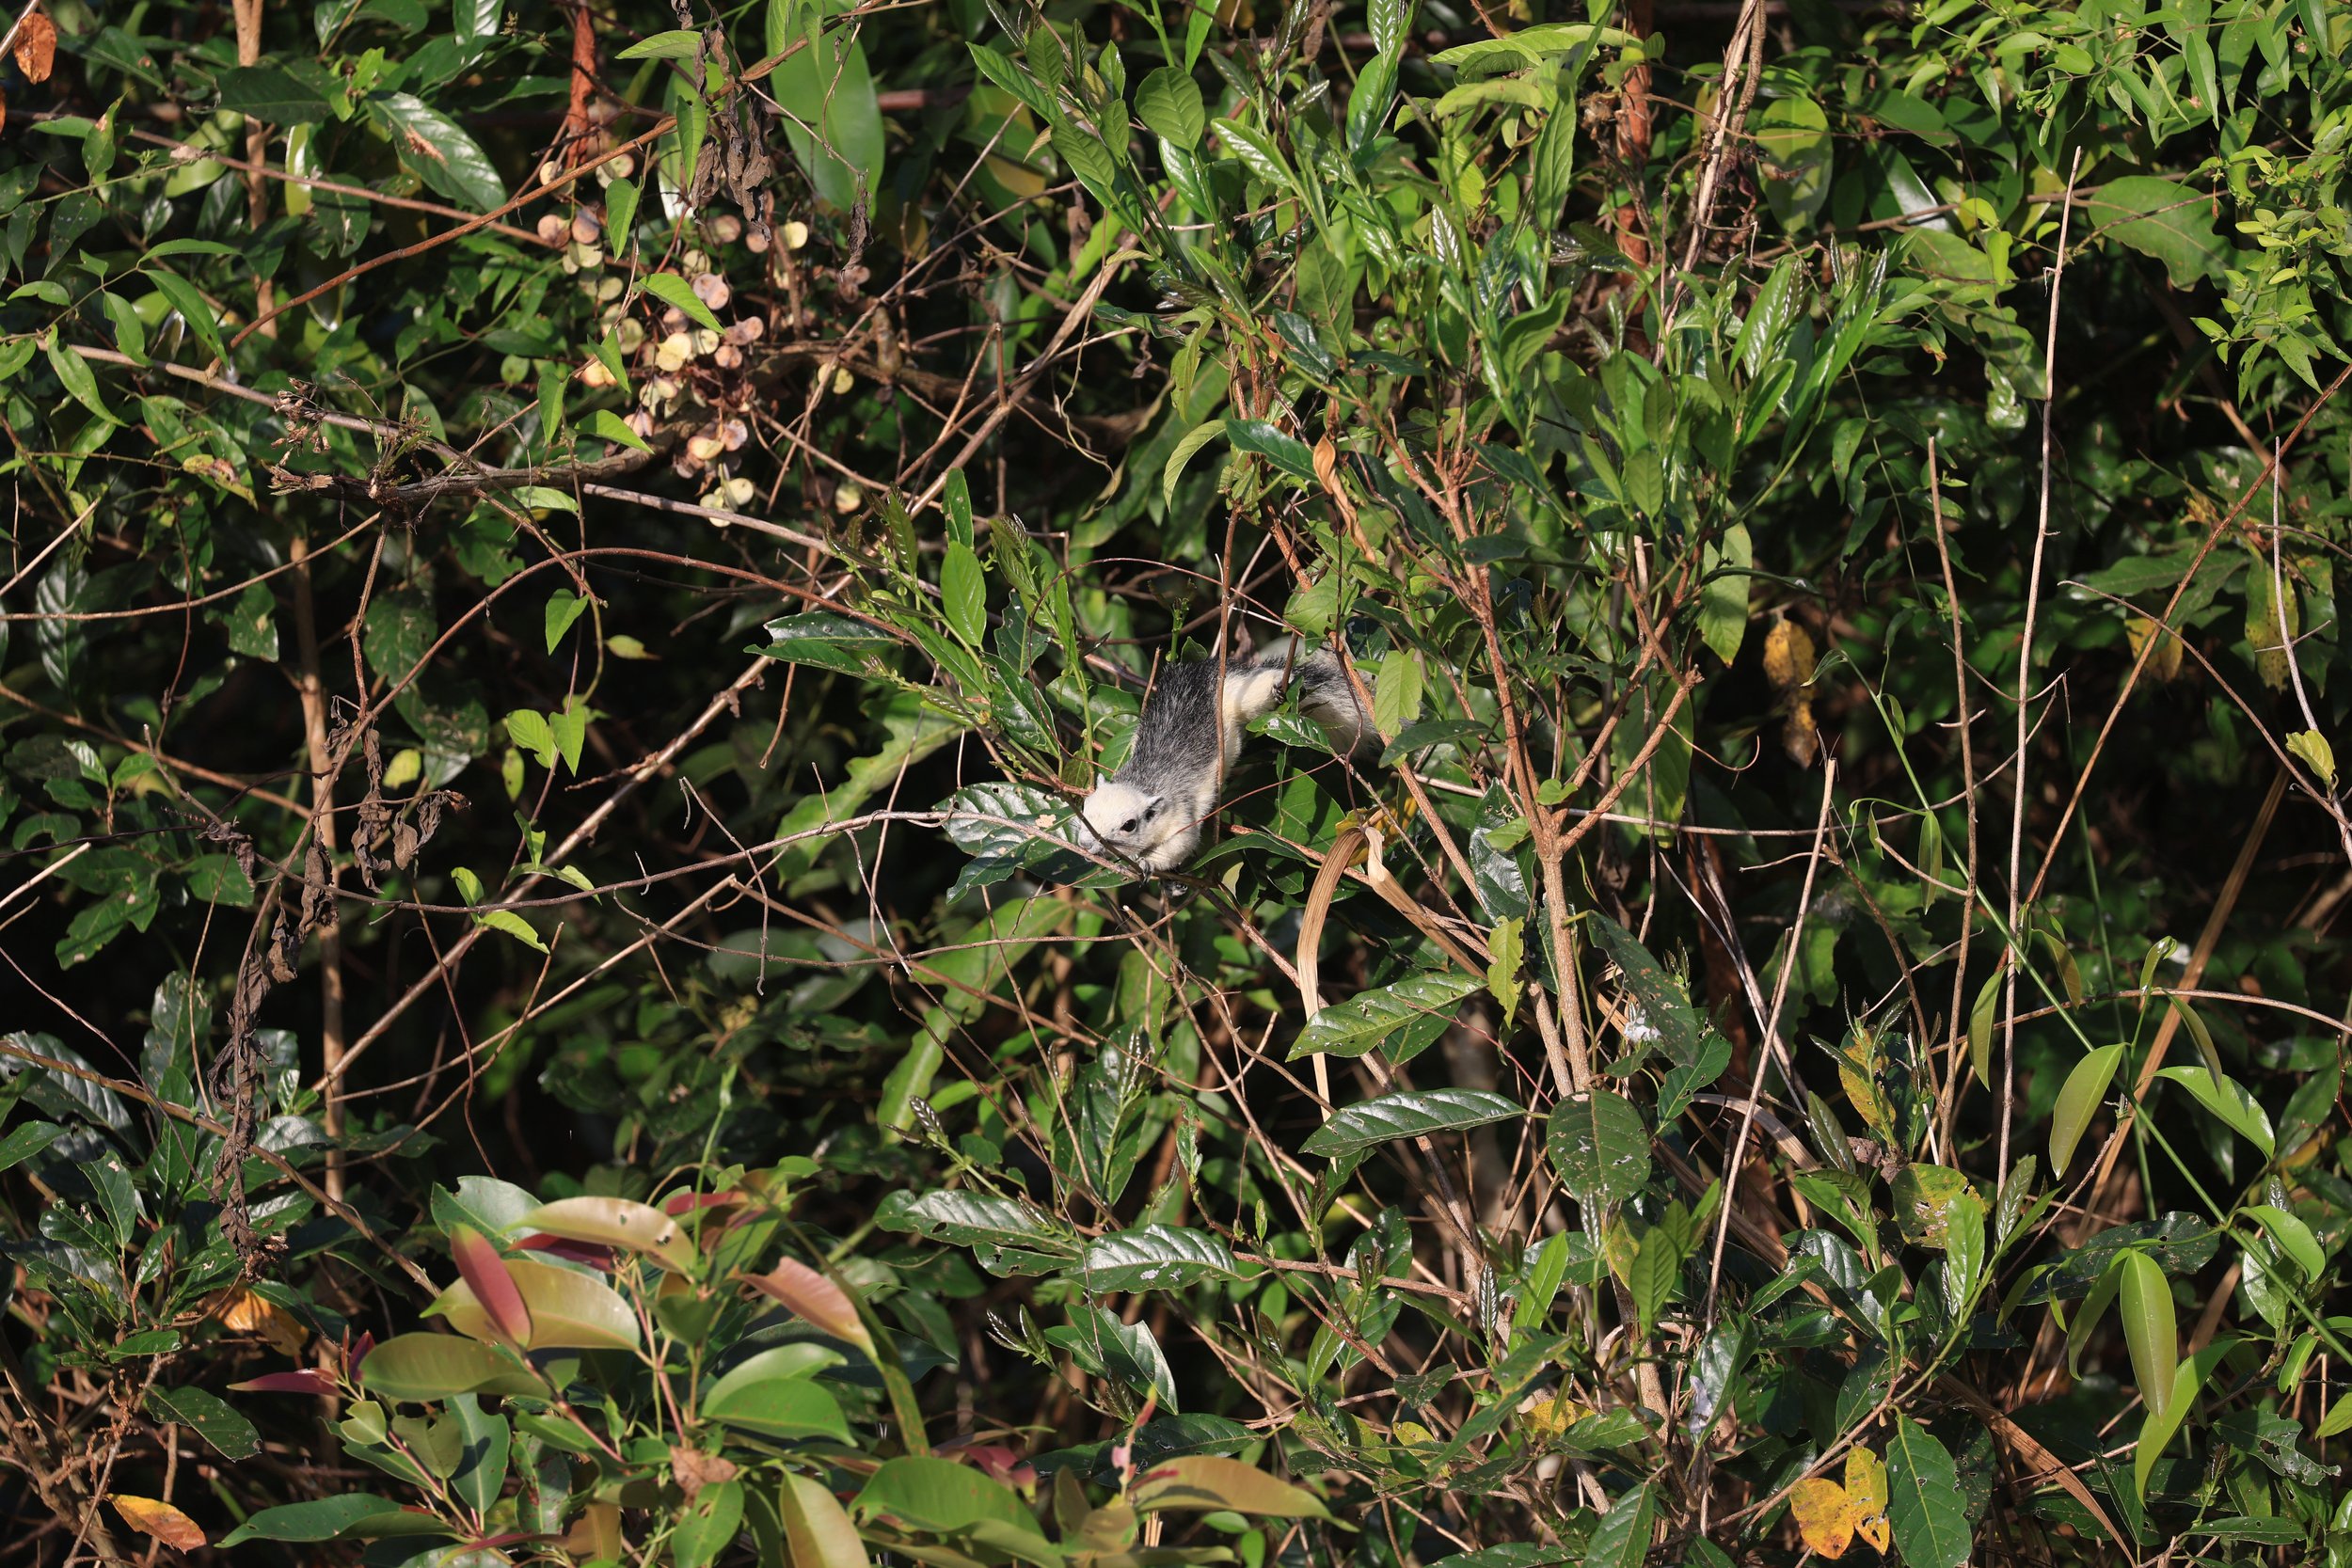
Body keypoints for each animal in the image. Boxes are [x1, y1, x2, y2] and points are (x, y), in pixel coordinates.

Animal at [1076, 637, 1374, 872]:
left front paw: (1147, 863)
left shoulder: (1180, 813)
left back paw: (1277, 683)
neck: (1142, 780)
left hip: (1239, 693)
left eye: (1129, 825)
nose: (1085, 844)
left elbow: (1181, 843)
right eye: (1085, 809)